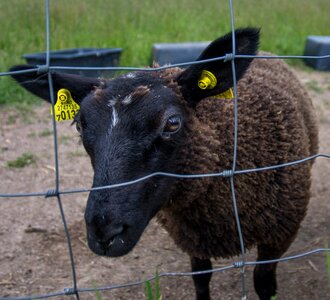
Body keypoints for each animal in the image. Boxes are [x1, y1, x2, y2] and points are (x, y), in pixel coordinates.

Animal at [10, 28, 320, 300]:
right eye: (79, 125)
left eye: (172, 123)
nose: (104, 233)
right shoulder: (193, 239)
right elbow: (200, 279)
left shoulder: (279, 235)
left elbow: (263, 284)